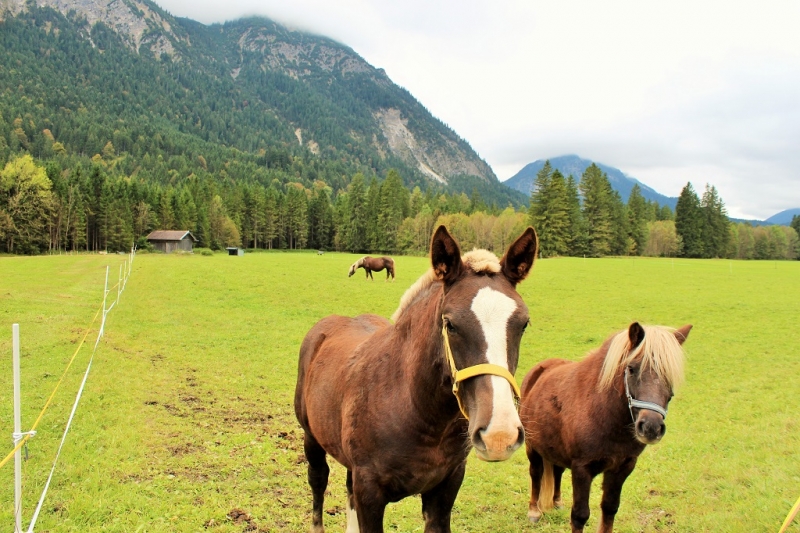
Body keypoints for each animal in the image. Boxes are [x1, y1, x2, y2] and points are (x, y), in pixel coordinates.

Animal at [296, 225, 540, 532]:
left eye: (524, 323)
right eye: (450, 324)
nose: (499, 434)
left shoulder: (445, 489)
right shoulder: (370, 493)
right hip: (312, 439)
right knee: (318, 481)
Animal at [520, 322, 692, 528]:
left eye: (669, 375)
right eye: (631, 368)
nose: (651, 427)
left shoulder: (622, 467)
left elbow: (610, 509)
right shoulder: (582, 469)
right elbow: (580, 515)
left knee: (557, 471)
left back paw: (557, 502)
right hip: (532, 446)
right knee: (536, 472)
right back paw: (533, 511)